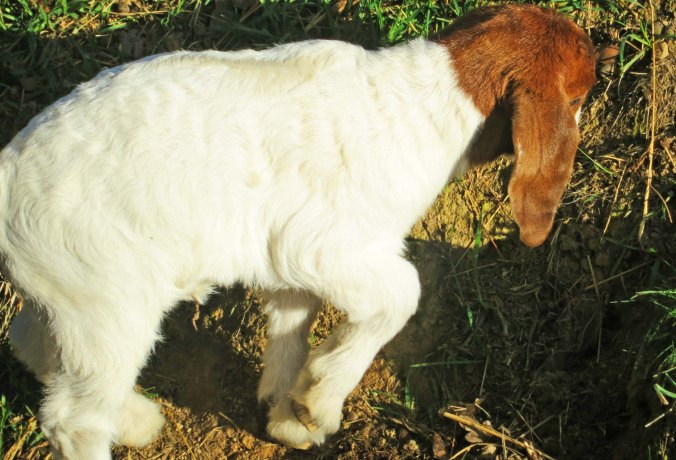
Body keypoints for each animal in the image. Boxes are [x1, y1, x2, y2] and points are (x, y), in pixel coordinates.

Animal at [3, 4, 597, 458]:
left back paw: (136, 419)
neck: (430, 100)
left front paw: (289, 413)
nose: (607, 50)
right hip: (108, 299)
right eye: (580, 89)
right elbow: (403, 292)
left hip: (69, 293)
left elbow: (295, 320)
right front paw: (321, 402)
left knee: (31, 341)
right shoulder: (321, 245)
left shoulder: (284, 257)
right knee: (73, 417)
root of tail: (7, 174)